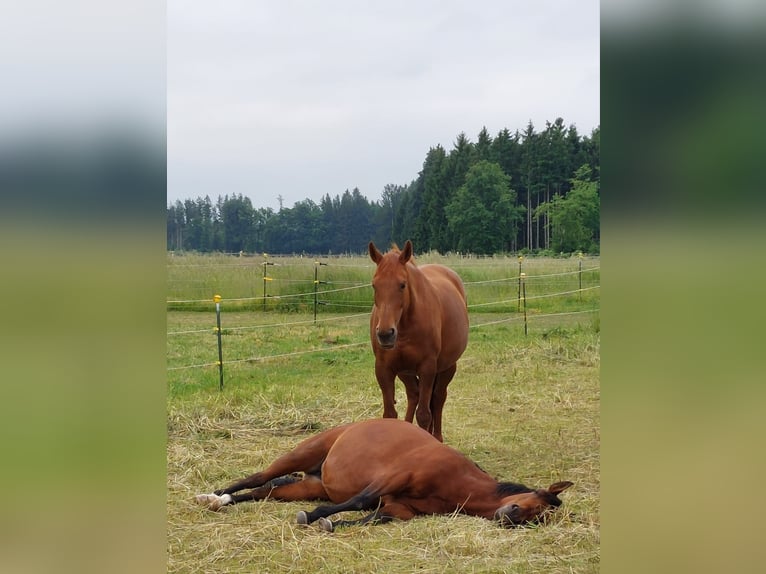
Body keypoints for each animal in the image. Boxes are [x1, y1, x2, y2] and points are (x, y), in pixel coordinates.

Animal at [195, 418, 572, 536]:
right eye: (537, 499)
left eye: (540, 517)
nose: (511, 517)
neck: (458, 481)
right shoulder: (394, 478)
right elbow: (360, 501)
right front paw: (315, 518)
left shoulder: (399, 508)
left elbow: (371, 518)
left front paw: (332, 524)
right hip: (301, 454)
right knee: (257, 477)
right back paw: (213, 496)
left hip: (309, 485)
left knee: (266, 492)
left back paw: (223, 502)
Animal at [370, 241, 472, 444]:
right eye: (374, 285)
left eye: (402, 285)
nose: (385, 334)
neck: (404, 327)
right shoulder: (384, 369)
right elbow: (390, 414)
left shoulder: (427, 368)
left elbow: (424, 414)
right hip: (405, 371)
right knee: (414, 395)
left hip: (447, 367)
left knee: (438, 398)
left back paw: (437, 437)